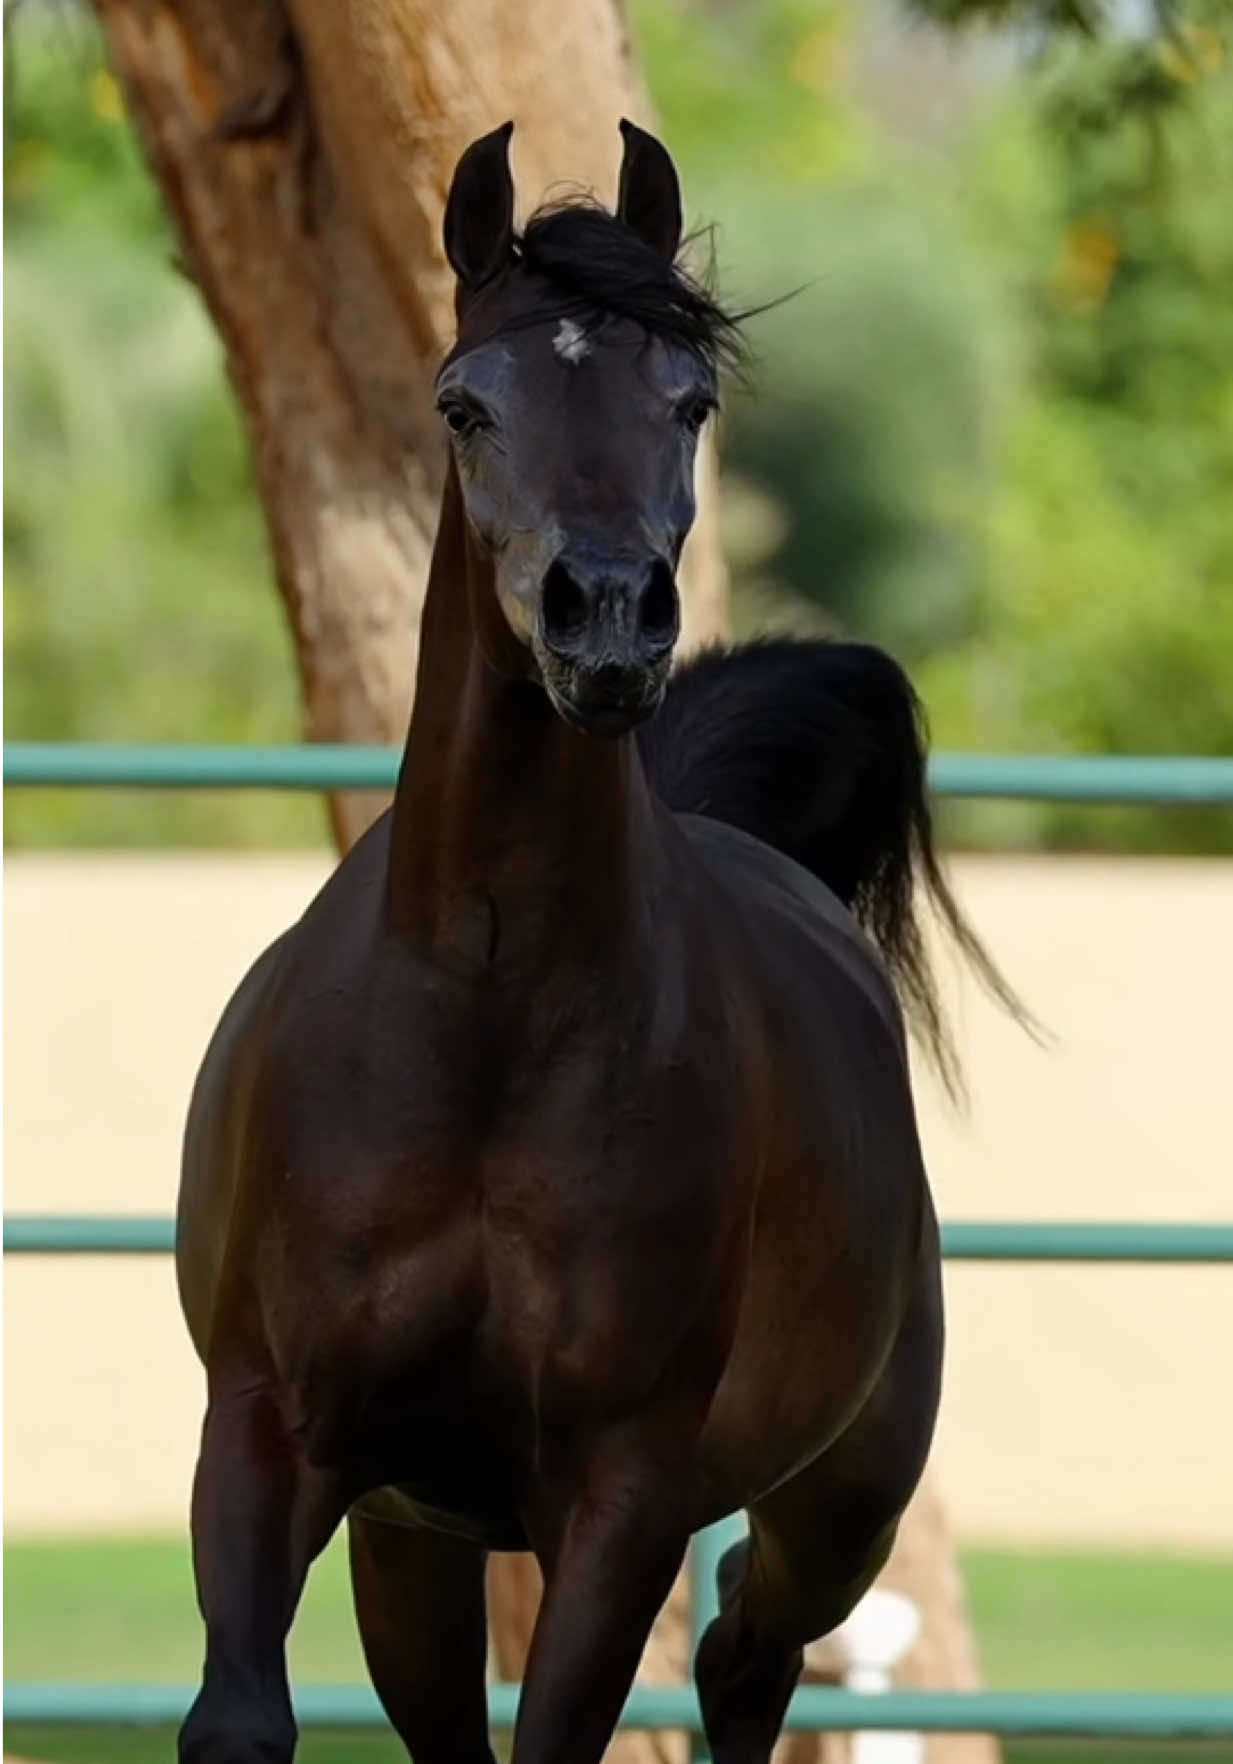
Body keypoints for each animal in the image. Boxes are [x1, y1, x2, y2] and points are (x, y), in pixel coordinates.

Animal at [176, 119, 1022, 1764]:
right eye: (465, 403)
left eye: (686, 400)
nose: (609, 622)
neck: (485, 1021)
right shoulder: (270, 1437)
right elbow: (242, 1718)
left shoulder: (622, 1499)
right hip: (413, 1541)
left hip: (843, 1504)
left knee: (752, 1647)